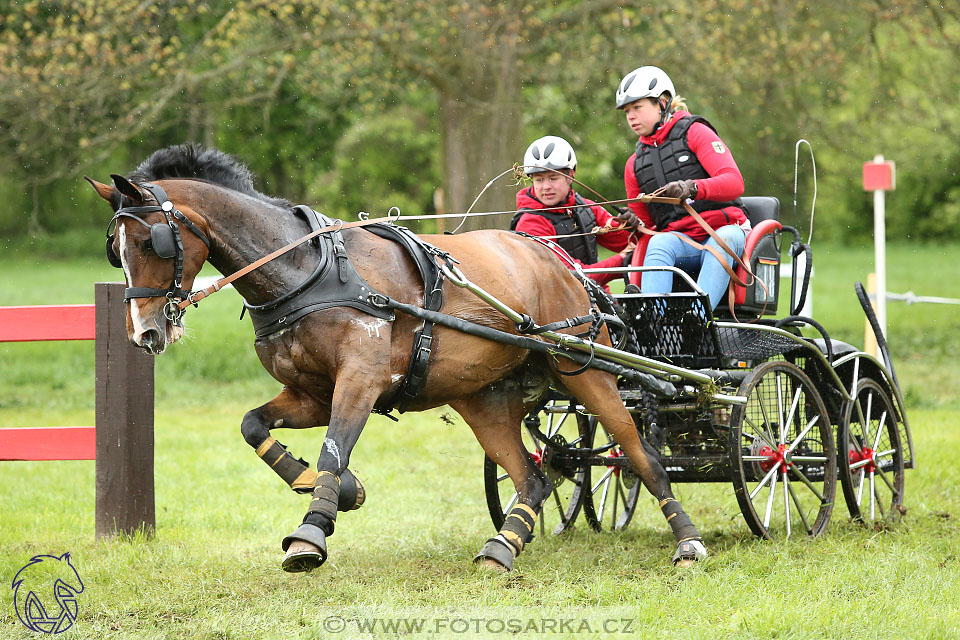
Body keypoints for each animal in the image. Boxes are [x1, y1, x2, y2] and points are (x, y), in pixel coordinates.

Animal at [86, 144, 708, 568]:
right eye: (115, 250)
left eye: (149, 242)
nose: (145, 332)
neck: (307, 271)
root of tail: (557, 259)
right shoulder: (309, 393)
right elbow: (253, 425)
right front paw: (331, 488)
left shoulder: (358, 380)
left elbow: (335, 447)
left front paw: (312, 531)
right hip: (483, 397)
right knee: (533, 475)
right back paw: (503, 545)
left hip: (586, 371)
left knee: (640, 455)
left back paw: (688, 540)